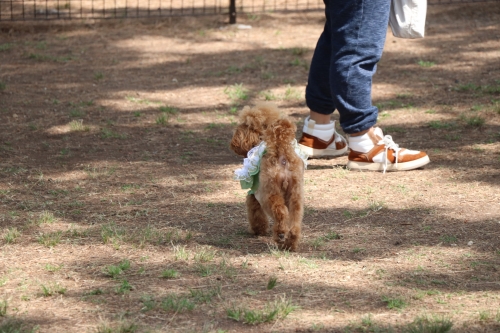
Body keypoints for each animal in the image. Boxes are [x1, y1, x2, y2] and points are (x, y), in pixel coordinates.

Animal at [229, 102, 304, 250]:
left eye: (244, 126)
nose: (234, 143)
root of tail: (282, 158)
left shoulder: (254, 194)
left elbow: (255, 212)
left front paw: (258, 230)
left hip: (270, 193)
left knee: (280, 212)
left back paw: (280, 235)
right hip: (295, 194)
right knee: (294, 219)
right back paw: (290, 242)